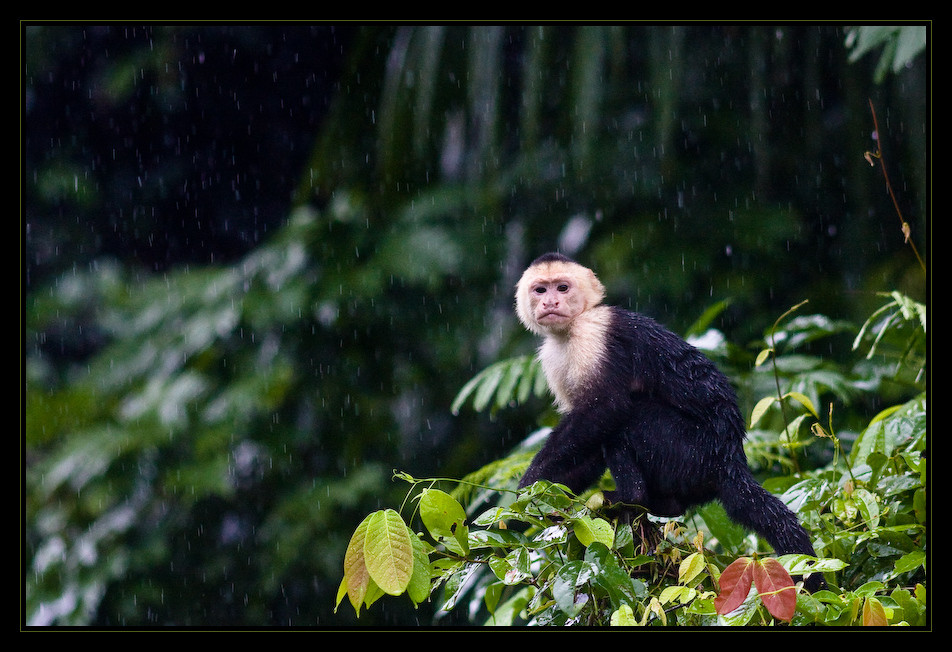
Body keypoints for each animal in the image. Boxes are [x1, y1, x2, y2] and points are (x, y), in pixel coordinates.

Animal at [512, 252, 824, 592]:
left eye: (563, 287)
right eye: (540, 290)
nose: (551, 302)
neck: (572, 326)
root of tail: (730, 459)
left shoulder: (591, 335)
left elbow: (605, 409)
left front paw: (529, 487)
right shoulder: (554, 358)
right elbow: (589, 443)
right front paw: (540, 502)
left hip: (688, 450)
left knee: (631, 418)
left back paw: (630, 498)